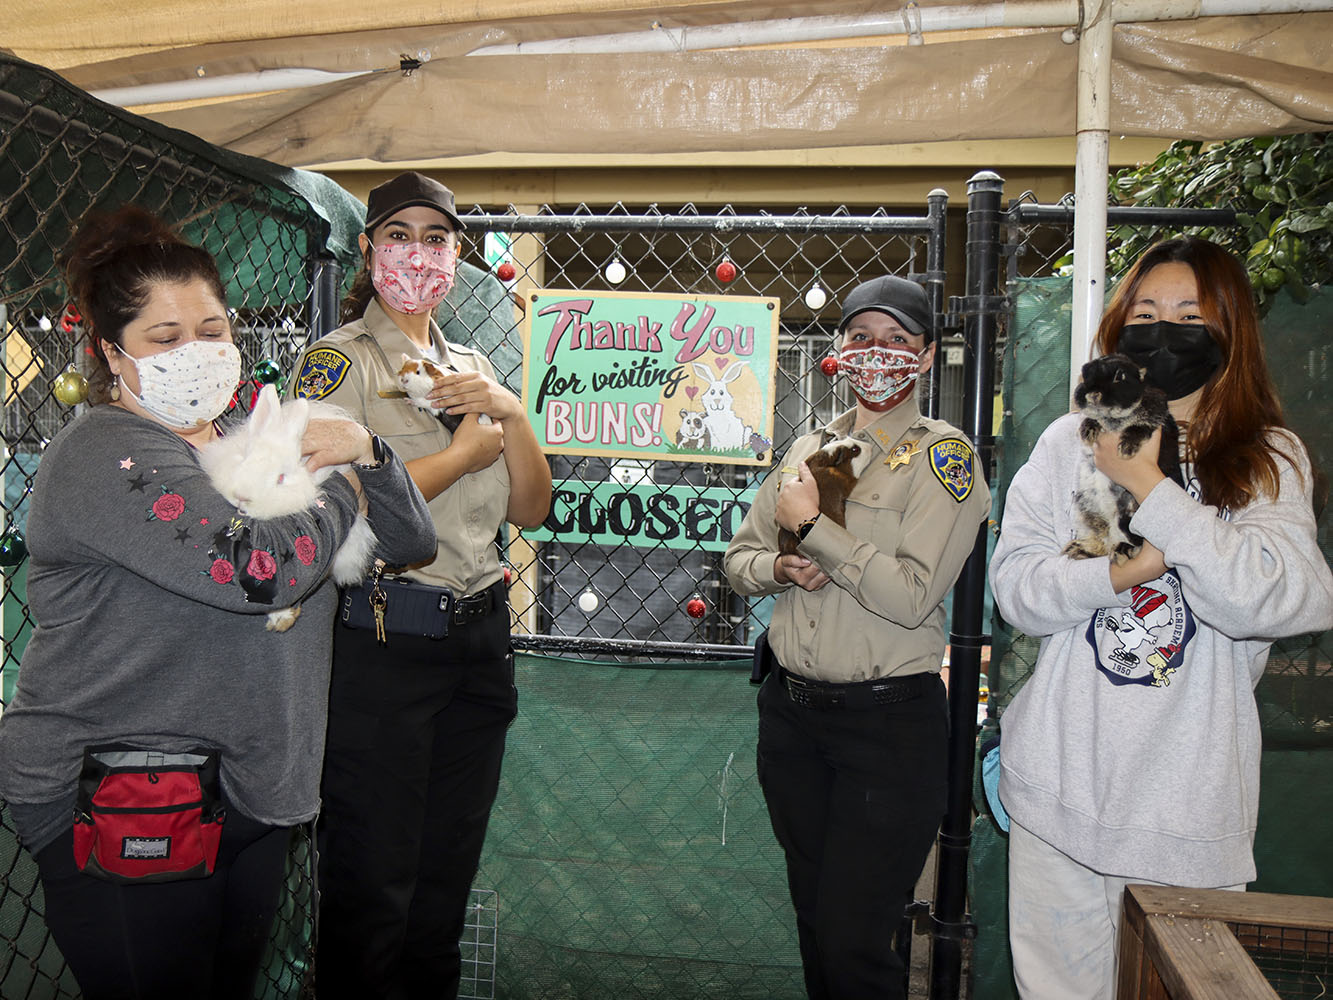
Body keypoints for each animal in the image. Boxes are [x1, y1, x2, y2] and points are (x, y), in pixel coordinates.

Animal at [1063, 353, 1185, 565]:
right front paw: (1087, 431)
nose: (1093, 395)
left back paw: (1122, 552)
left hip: (1128, 519)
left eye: (1120, 377)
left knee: (1135, 543)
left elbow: (1139, 427)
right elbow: (1092, 418)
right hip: (1089, 512)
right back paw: (1080, 549)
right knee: (1104, 542)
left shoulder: (1155, 417)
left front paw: (1126, 449)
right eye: (1085, 374)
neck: (1113, 420)